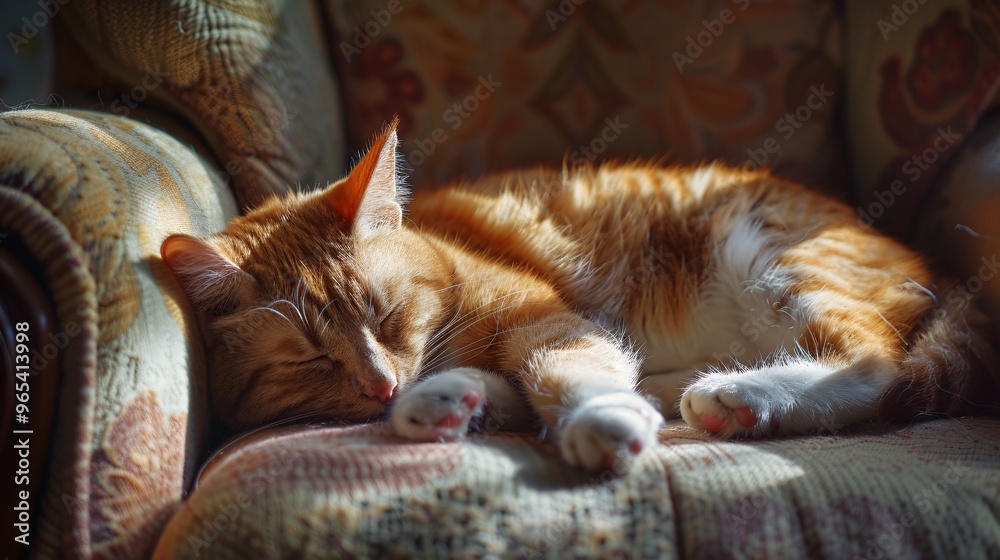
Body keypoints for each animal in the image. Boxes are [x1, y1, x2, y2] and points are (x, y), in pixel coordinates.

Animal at [164, 123, 1000, 472]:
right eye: (309, 358)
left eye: (386, 315)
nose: (380, 386)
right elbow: (516, 380)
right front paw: (448, 400)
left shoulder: (548, 318)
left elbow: (563, 368)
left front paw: (599, 419)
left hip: (767, 258)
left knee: (876, 366)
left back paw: (739, 395)